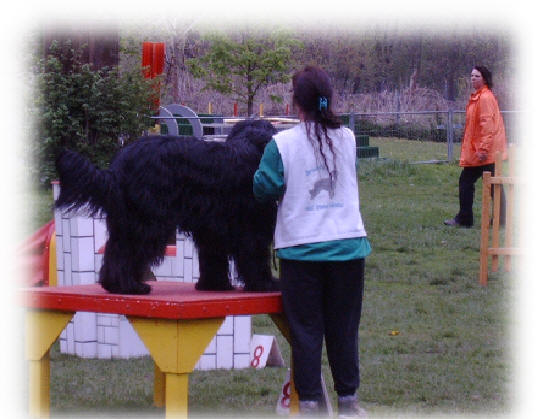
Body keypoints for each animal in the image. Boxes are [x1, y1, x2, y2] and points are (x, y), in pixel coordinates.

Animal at [55, 119, 280, 296]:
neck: (252, 146)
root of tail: (118, 167)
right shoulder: (253, 226)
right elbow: (257, 255)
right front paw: (266, 284)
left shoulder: (212, 229)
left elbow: (213, 257)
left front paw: (215, 285)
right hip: (148, 222)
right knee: (128, 251)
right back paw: (130, 287)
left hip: (128, 220)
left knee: (117, 249)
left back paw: (116, 285)